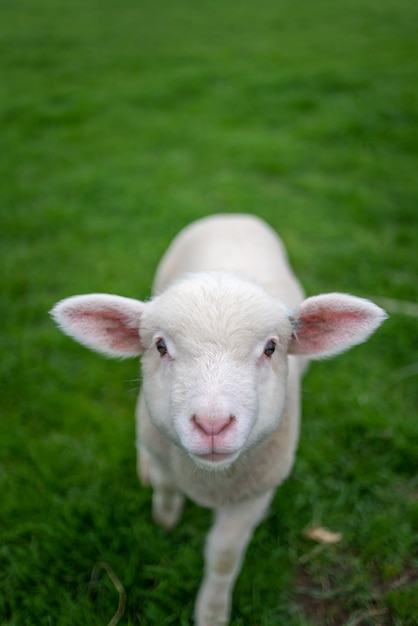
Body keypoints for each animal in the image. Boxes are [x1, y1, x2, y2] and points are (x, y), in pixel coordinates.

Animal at [50, 212, 386, 620]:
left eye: (271, 348)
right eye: (160, 346)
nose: (213, 425)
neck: (208, 480)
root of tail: (232, 215)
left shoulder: (255, 493)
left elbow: (224, 556)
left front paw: (211, 612)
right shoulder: (161, 448)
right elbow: (165, 487)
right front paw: (165, 521)